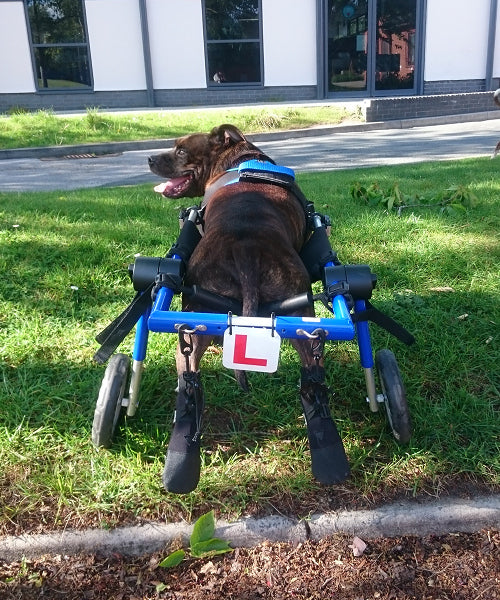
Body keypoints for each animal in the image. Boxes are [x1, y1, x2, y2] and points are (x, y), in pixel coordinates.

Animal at [148, 125, 350, 492]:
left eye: (181, 151)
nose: (150, 158)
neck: (239, 158)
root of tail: (247, 247)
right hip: (299, 319)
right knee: (312, 372)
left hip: (193, 322)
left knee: (188, 374)